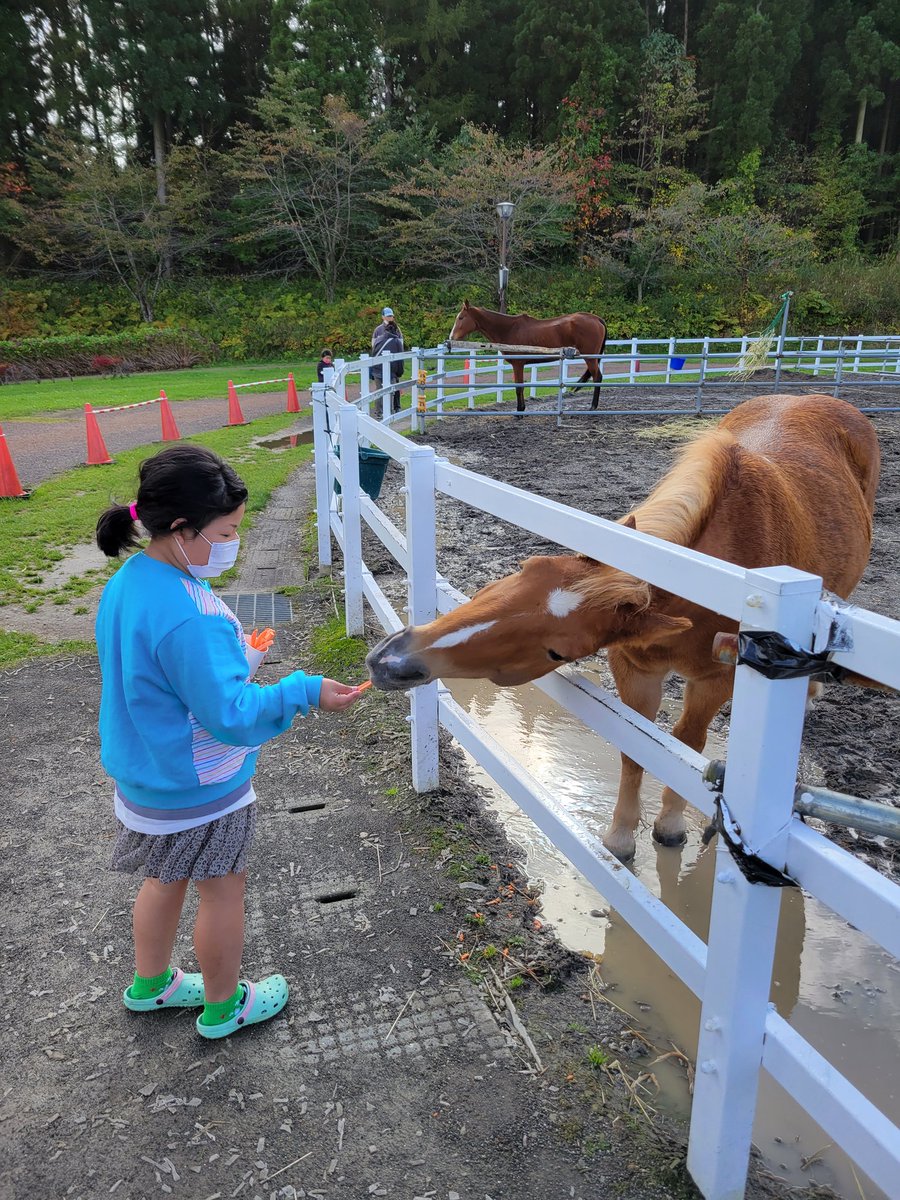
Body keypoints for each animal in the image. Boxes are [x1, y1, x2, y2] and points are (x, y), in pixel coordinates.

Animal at [366, 393, 880, 861]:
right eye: (525, 568)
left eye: (558, 652)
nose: (392, 660)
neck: (706, 581)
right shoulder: (634, 667)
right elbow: (636, 747)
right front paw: (619, 838)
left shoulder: (716, 679)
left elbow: (685, 744)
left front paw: (669, 826)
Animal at [449, 301, 607, 411]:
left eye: (461, 317)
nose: (451, 337)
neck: (509, 329)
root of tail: (597, 319)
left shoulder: (518, 364)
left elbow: (519, 387)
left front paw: (519, 411)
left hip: (590, 358)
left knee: (597, 377)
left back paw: (593, 406)